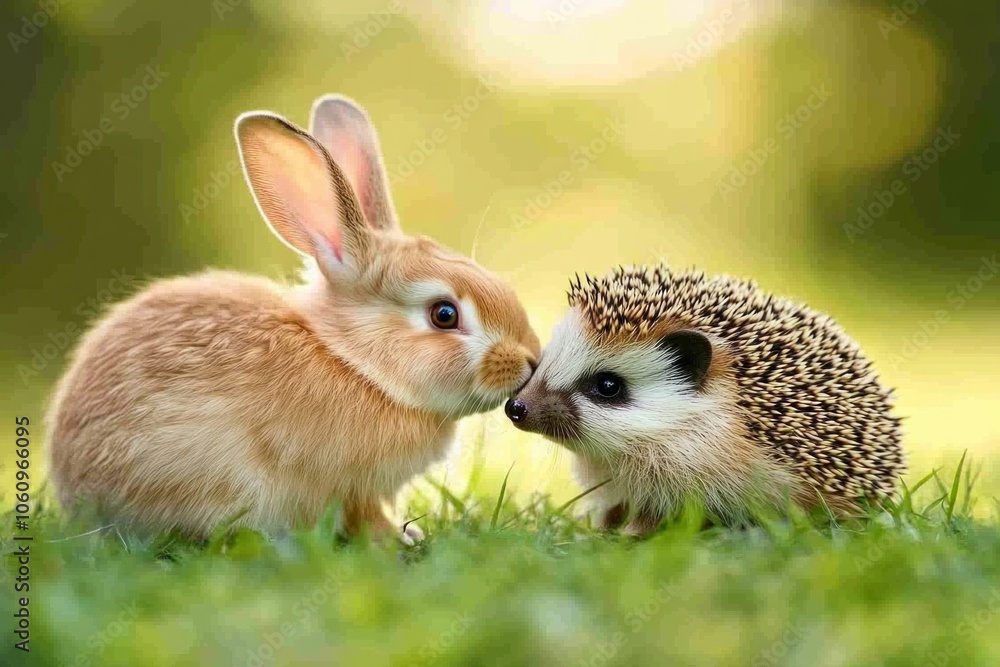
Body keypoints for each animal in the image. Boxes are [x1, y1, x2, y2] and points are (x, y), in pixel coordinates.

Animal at [46, 95, 540, 542]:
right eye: (444, 314)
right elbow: (363, 514)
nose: (531, 360)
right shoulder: (348, 484)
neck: (355, 364)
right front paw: (398, 540)